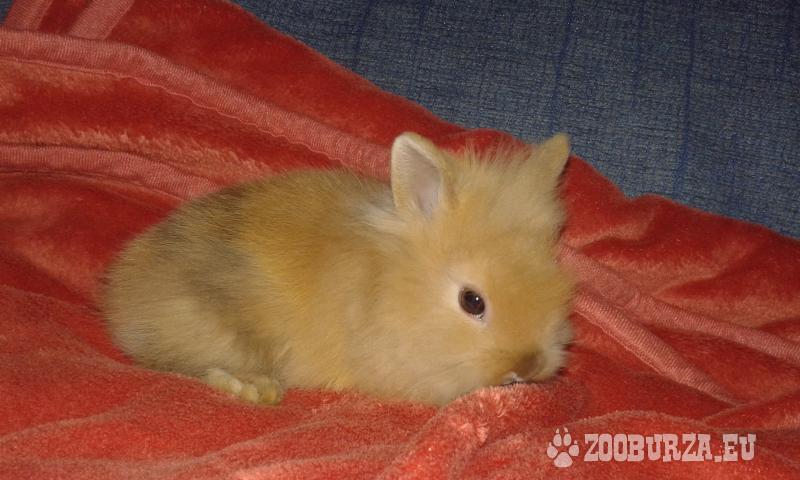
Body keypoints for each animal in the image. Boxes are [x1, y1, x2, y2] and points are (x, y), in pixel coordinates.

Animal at [101, 132, 574, 406]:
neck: (389, 283)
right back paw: (252, 387)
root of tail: (120, 293)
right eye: (472, 301)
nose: (528, 365)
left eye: (558, 286)